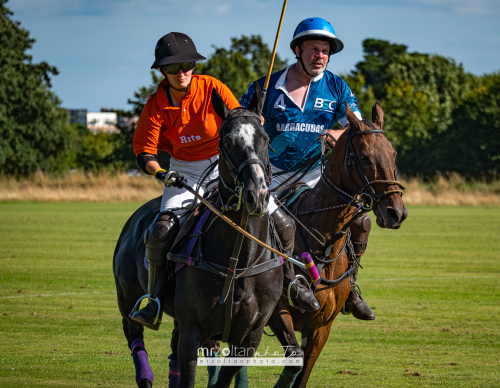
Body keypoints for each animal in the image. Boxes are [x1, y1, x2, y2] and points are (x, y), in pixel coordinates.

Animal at [268, 101, 408, 386]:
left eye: (393, 154)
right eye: (364, 157)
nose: (396, 212)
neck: (322, 240)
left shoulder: (322, 326)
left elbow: (303, 371)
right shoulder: (278, 311)